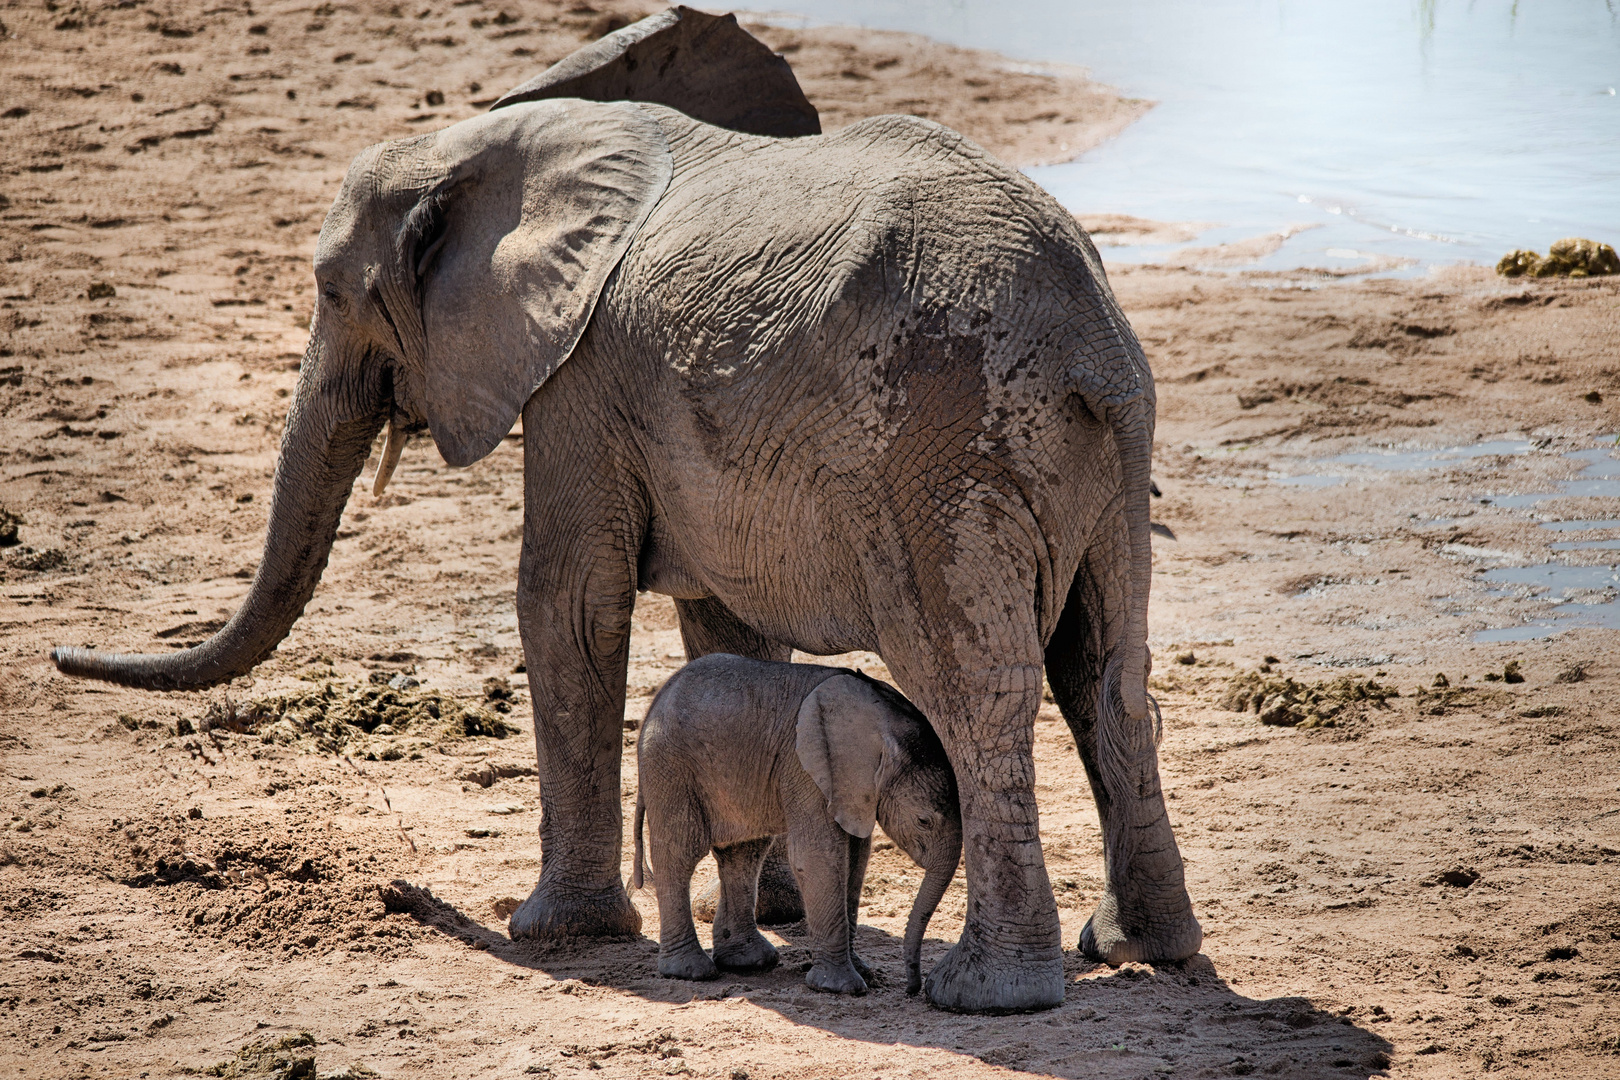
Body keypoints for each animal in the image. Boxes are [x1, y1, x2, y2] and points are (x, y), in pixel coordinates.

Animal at [631, 650, 959, 997]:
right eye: (924, 821)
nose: (912, 988)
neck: (879, 720)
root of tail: (655, 702)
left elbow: (856, 861)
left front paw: (865, 974)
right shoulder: (807, 769)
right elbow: (818, 857)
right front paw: (842, 987)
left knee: (743, 853)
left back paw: (749, 961)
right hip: (670, 767)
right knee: (680, 854)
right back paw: (690, 971)